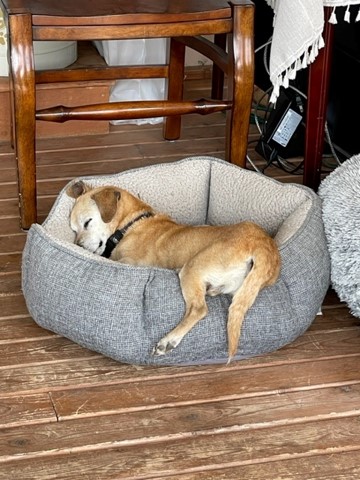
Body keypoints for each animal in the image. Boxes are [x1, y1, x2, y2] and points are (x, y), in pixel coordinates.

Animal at [67, 182, 282, 362]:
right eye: (73, 229)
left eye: (87, 222)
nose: (78, 246)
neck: (132, 223)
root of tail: (263, 245)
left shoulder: (130, 262)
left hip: (191, 268)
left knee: (198, 309)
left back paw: (168, 341)